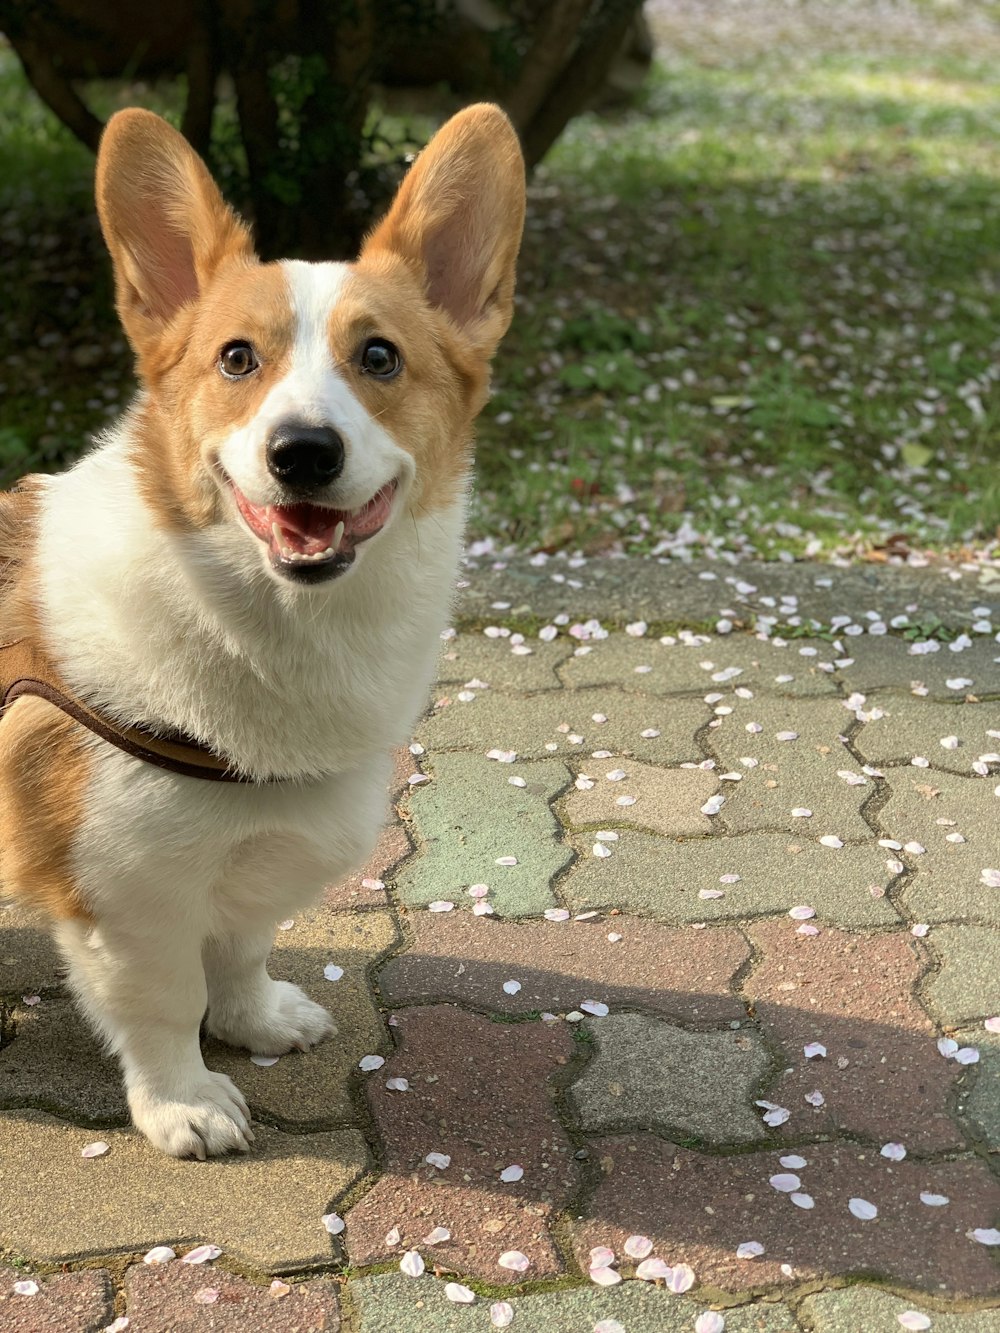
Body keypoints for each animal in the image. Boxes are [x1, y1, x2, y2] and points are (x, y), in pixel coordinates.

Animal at [0, 106, 528, 1157]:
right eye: (237, 357)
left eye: (380, 357)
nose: (303, 453)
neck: (273, 623)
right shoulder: (129, 894)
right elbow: (165, 1004)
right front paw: (184, 1102)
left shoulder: (247, 865)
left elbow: (241, 948)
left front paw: (254, 1022)